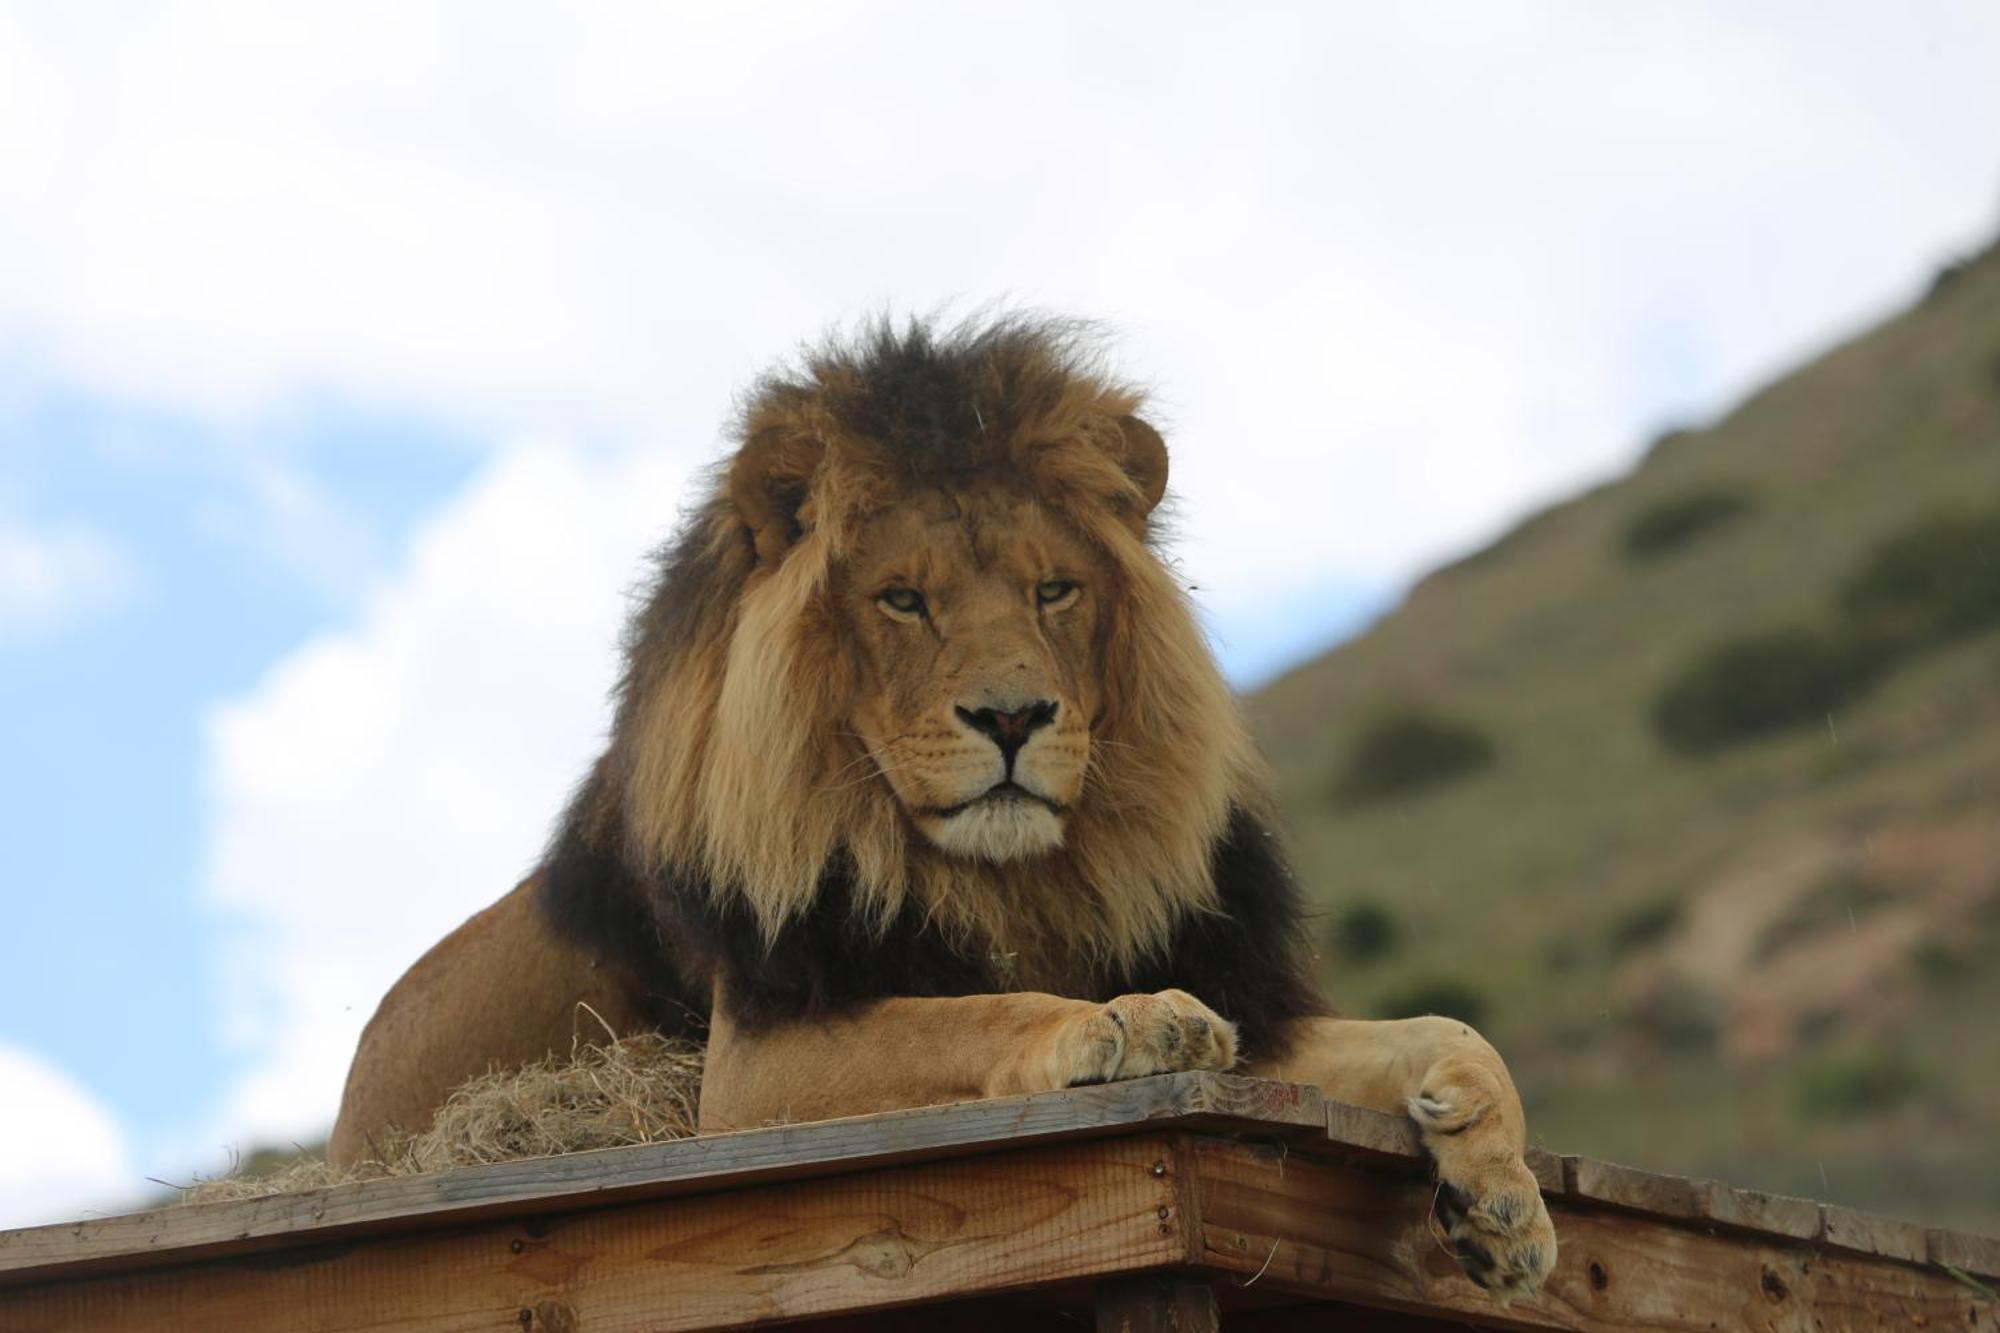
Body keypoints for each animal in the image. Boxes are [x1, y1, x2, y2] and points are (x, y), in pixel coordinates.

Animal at [328, 316, 1552, 1288]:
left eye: (1053, 590)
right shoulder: (749, 1065)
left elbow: (1449, 1030)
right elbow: (972, 1012)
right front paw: (1130, 1022)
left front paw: (1504, 1200)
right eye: (902, 600)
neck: (1012, 882)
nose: (1012, 717)